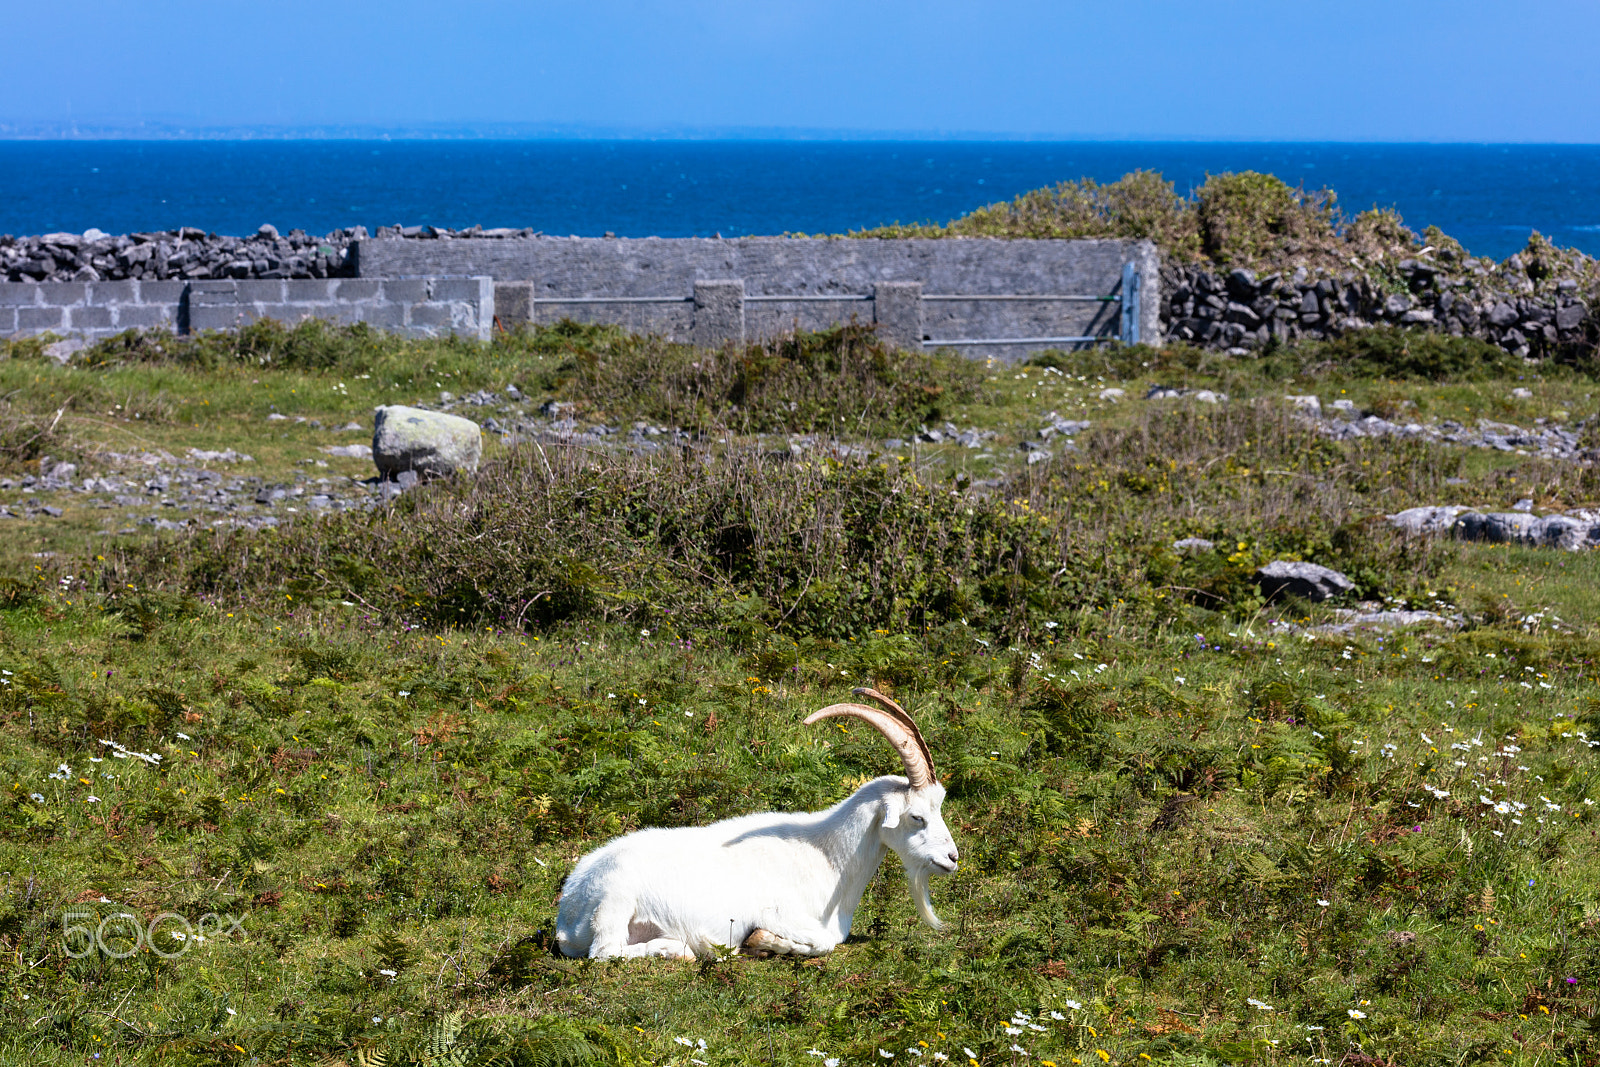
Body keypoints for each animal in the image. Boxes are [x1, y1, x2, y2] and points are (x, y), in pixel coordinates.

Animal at [554, 688, 959, 959]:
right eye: (917, 816)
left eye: (939, 807)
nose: (952, 858)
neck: (827, 856)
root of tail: (567, 910)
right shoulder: (777, 912)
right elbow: (823, 943)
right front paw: (760, 942)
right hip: (615, 899)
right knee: (605, 951)